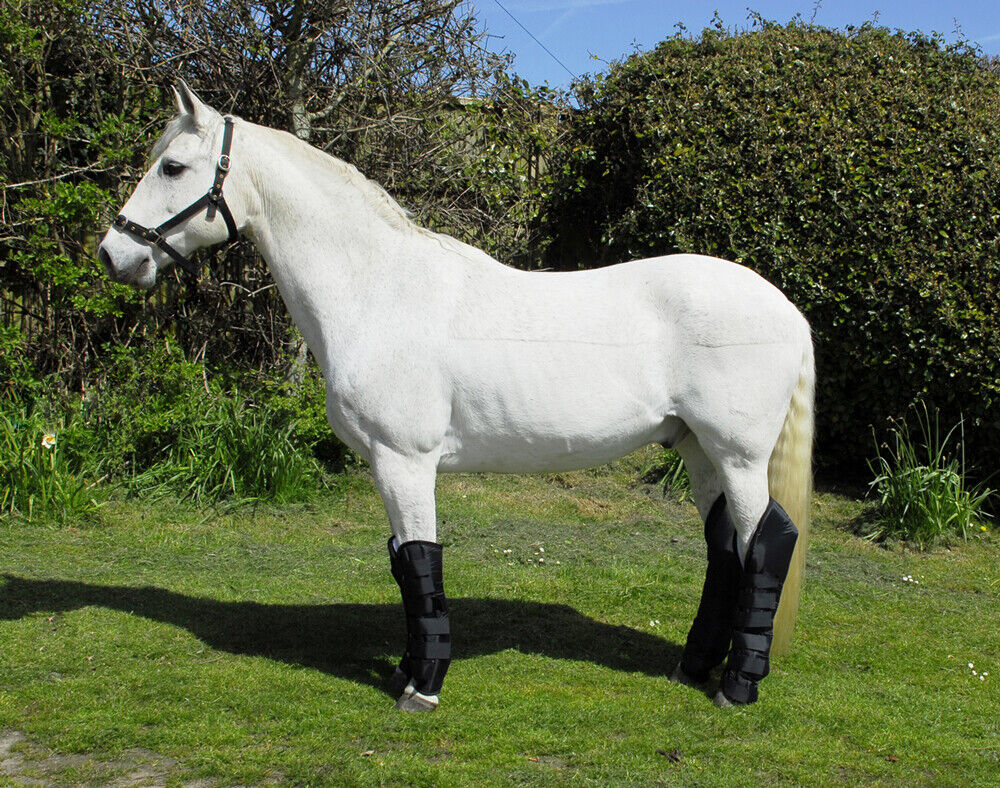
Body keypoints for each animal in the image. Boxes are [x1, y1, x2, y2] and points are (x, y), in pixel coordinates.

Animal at [99, 80, 814, 712]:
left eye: (172, 165)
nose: (113, 255)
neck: (377, 289)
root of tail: (786, 309)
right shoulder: (389, 466)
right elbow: (403, 565)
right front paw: (406, 670)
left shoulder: (405, 461)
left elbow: (422, 564)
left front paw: (423, 686)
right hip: (697, 450)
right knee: (726, 547)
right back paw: (693, 667)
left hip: (739, 456)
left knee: (767, 542)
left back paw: (736, 686)